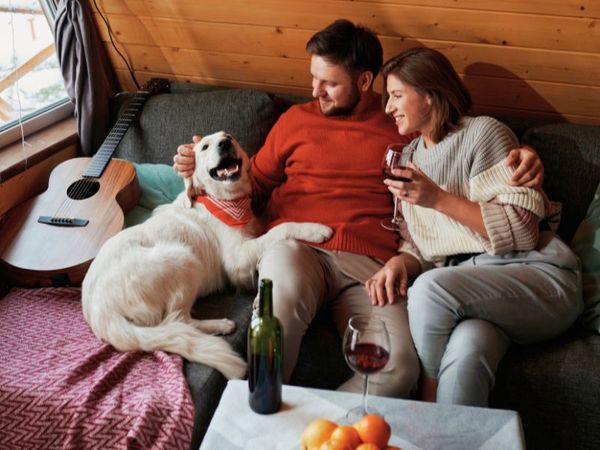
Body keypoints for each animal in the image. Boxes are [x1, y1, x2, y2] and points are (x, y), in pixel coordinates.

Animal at [81, 131, 332, 380]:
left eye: (229, 136)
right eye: (204, 147)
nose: (225, 144)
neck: (226, 200)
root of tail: (99, 313)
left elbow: (268, 227)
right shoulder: (237, 261)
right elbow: (279, 229)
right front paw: (315, 229)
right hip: (183, 257)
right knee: (177, 320)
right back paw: (220, 325)